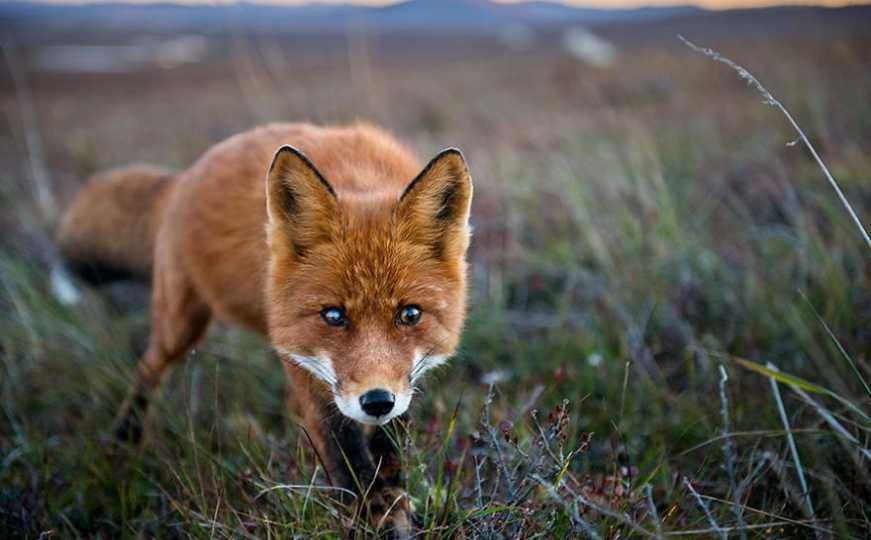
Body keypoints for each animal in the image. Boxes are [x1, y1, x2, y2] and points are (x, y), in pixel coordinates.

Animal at [57, 123, 474, 536]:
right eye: (333, 315)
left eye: (409, 314)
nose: (375, 401)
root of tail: (186, 175)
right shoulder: (302, 360)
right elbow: (344, 450)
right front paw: (375, 511)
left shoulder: (402, 381)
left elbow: (392, 441)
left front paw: (393, 497)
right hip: (180, 323)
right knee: (149, 367)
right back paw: (124, 439)